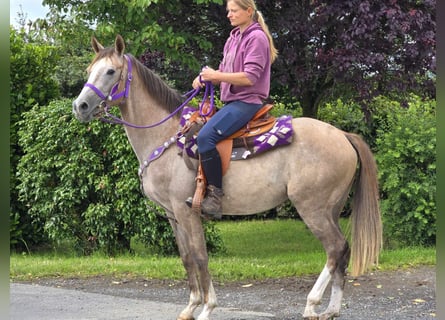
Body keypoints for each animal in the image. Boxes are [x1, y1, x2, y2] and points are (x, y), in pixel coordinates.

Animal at [73, 35, 382, 320]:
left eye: (110, 71)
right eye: (89, 69)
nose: (80, 106)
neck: (166, 138)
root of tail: (343, 135)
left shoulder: (187, 211)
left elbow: (200, 256)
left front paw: (207, 308)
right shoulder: (172, 215)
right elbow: (186, 258)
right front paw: (191, 306)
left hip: (312, 208)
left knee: (335, 248)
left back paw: (312, 304)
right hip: (331, 208)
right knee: (342, 252)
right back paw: (331, 309)